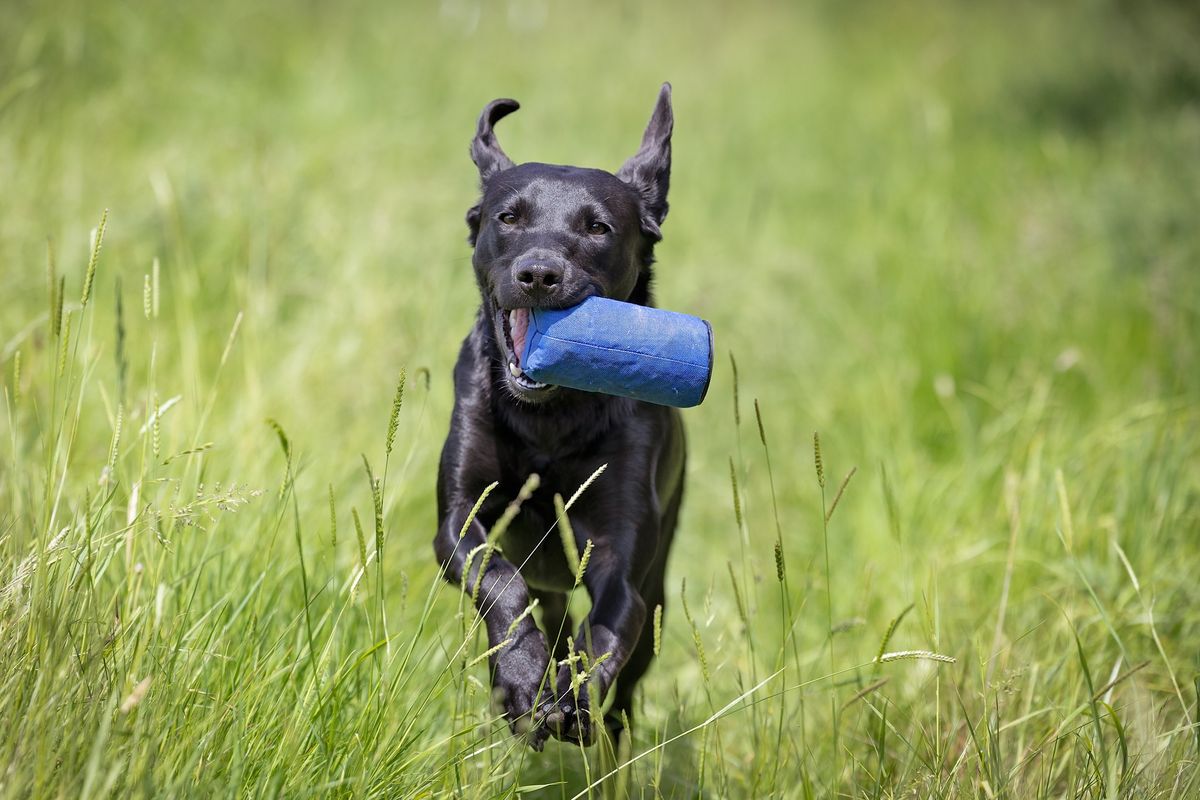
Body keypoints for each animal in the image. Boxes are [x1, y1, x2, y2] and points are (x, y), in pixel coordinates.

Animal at [436, 84, 686, 748]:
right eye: (509, 217)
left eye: (598, 227)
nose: (540, 274)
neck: (549, 418)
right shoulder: (458, 519)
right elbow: (500, 580)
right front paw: (523, 679)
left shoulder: (622, 551)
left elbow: (605, 625)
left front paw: (574, 694)